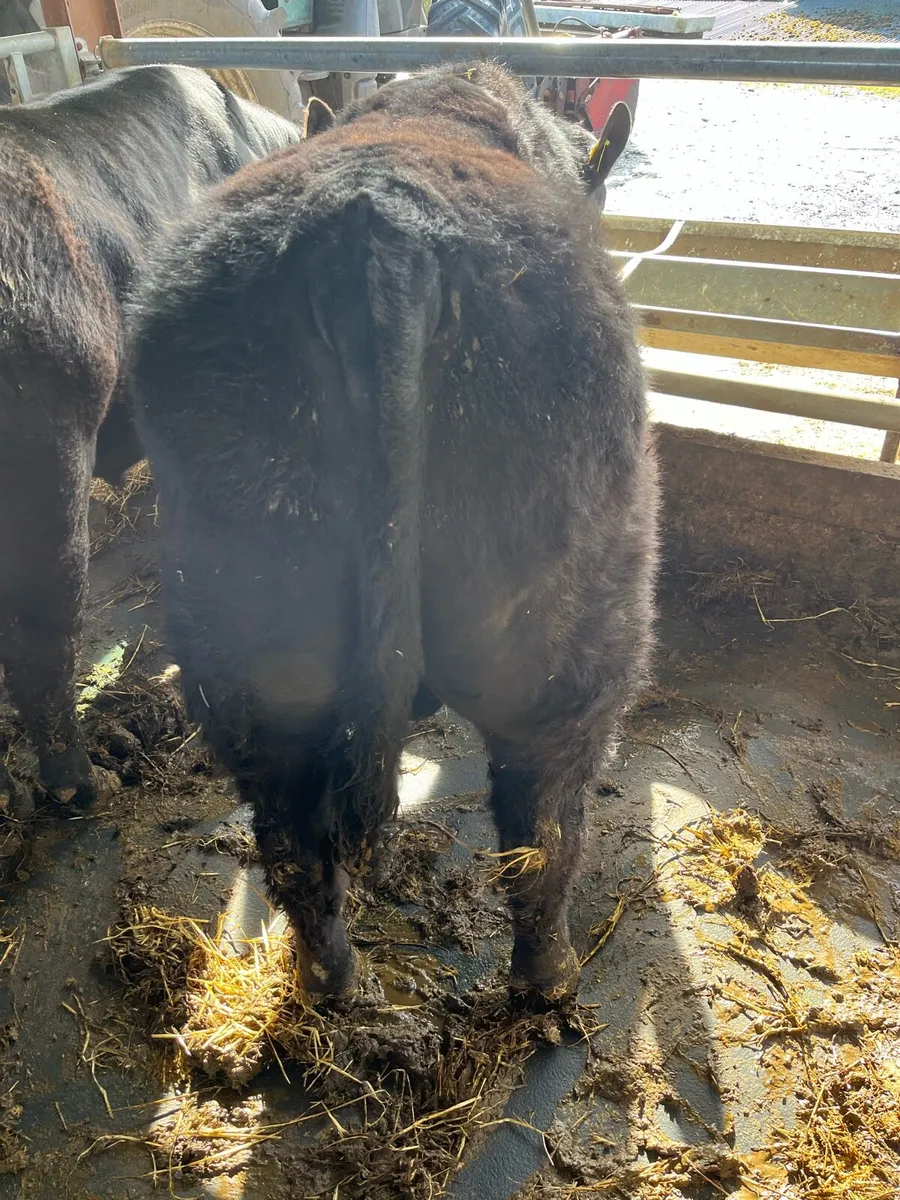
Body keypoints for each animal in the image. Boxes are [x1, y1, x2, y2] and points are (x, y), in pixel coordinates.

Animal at [129, 63, 658, 1002]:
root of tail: (381, 229)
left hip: (249, 637)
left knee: (292, 837)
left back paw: (331, 981)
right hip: (575, 647)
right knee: (545, 822)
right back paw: (550, 983)